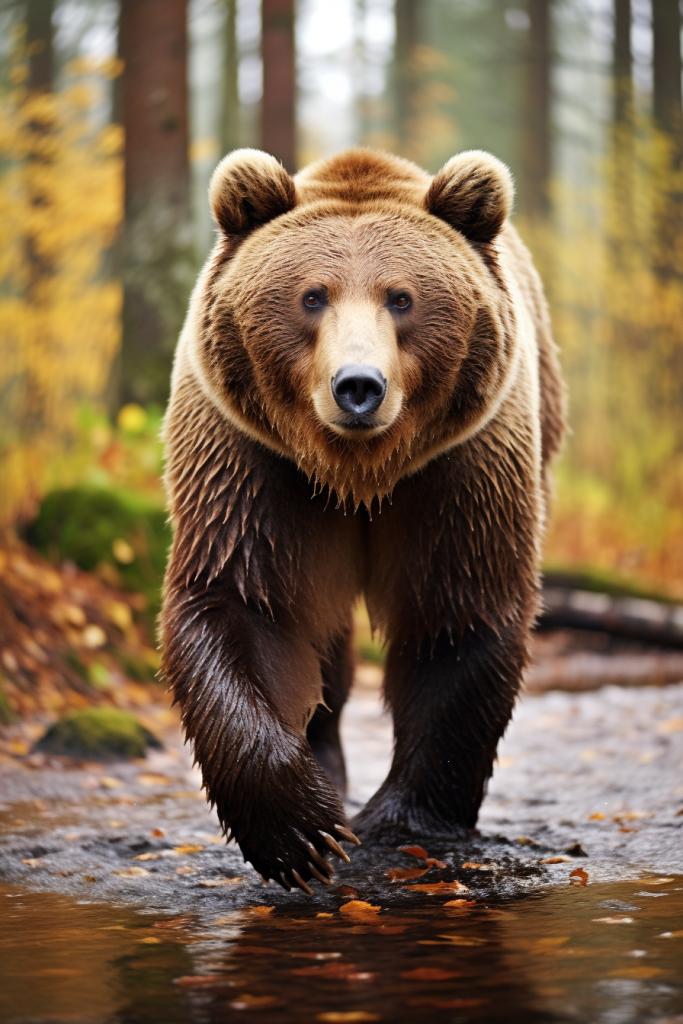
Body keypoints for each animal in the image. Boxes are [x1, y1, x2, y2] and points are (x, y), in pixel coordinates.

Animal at [161, 147, 565, 894]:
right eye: (312, 295)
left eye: (400, 297)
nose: (357, 386)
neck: (358, 473)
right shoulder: (252, 461)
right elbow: (243, 603)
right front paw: (302, 829)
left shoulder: (460, 466)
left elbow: (456, 616)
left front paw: (402, 819)